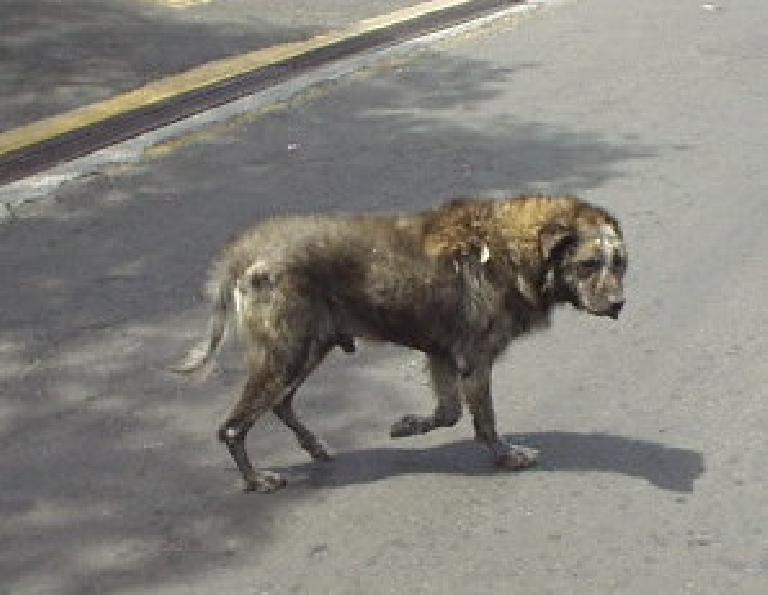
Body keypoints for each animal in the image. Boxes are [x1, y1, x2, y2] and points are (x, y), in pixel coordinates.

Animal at [176, 196, 632, 494]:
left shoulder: (443, 355)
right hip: (285, 357)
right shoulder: (474, 359)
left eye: (621, 263)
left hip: (307, 351)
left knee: (280, 405)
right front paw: (505, 456)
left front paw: (409, 425)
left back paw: (314, 447)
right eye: (589, 264)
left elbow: (448, 414)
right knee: (232, 427)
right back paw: (256, 480)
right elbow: (484, 423)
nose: (619, 305)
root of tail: (247, 248)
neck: (510, 251)